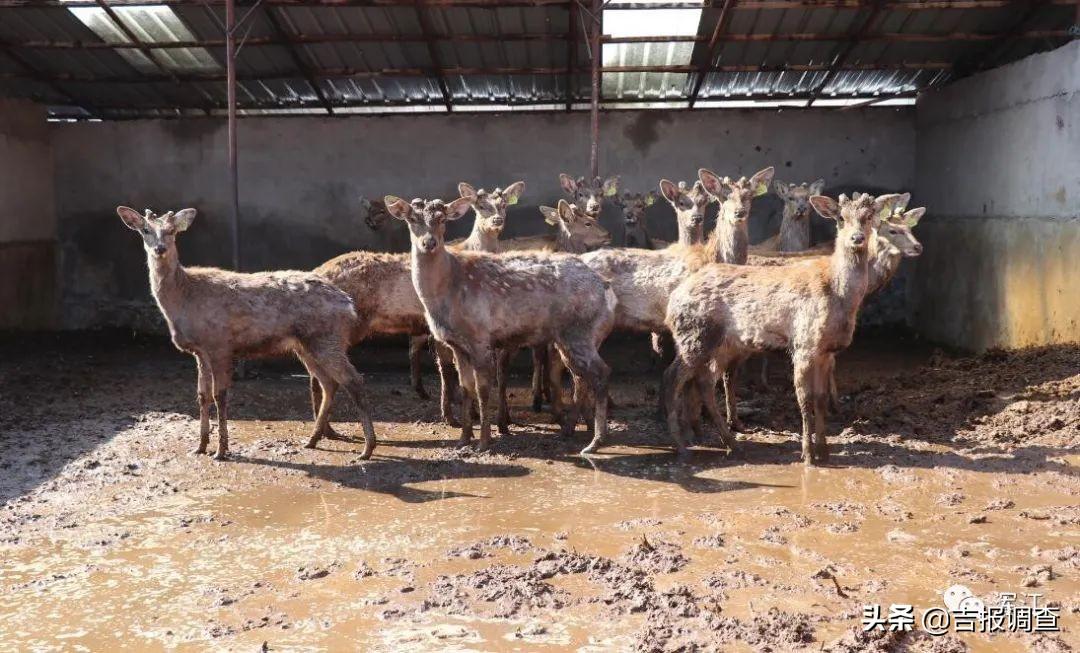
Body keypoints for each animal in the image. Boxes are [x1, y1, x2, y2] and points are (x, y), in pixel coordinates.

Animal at [117, 206, 380, 461]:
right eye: (145, 230)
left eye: (171, 230)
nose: (160, 249)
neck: (184, 300)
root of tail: (348, 304)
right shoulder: (199, 352)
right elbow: (202, 395)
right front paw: (200, 447)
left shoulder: (219, 344)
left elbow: (219, 395)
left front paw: (221, 450)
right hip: (306, 345)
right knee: (329, 383)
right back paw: (312, 440)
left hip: (327, 337)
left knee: (354, 380)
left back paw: (367, 448)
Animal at [386, 194, 617, 453]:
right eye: (412, 219)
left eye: (442, 218)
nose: (429, 242)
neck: (447, 291)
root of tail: (607, 289)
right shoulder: (457, 344)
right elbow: (466, 388)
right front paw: (463, 440)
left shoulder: (480, 336)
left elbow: (483, 389)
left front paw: (484, 441)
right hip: (571, 338)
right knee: (581, 377)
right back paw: (571, 431)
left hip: (581, 332)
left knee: (601, 372)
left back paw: (595, 441)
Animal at [656, 189, 902, 464]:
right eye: (840, 218)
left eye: (869, 216)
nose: (857, 238)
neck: (840, 297)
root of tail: (675, 297)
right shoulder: (804, 342)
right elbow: (804, 400)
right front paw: (807, 455)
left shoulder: (826, 350)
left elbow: (820, 400)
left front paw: (824, 451)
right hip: (695, 334)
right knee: (672, 377)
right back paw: (682, 446)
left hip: (719, 342)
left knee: (704, 381)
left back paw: (732, 443)